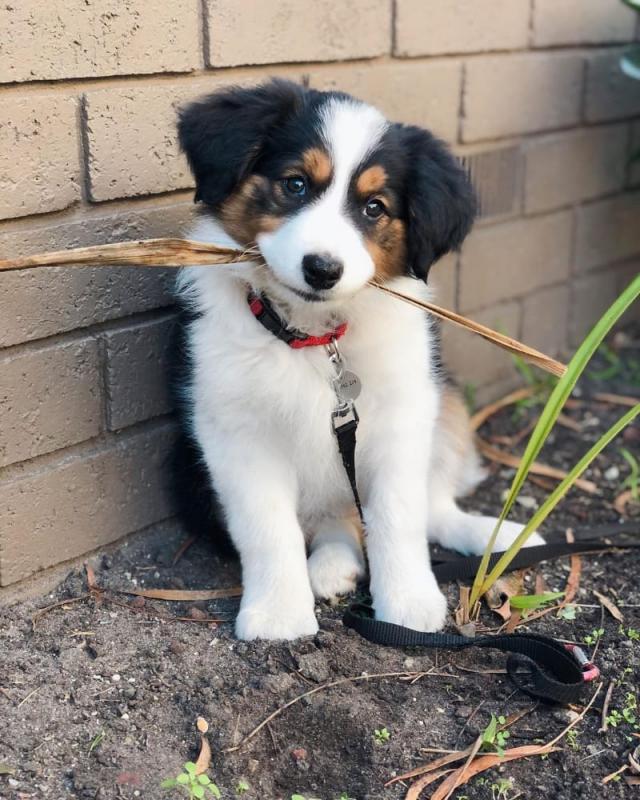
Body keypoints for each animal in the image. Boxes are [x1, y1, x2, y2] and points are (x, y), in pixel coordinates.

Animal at [172, 79, 544, 644]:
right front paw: (278, 613)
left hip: (445, 402)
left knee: (430, 506)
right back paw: (333, 565)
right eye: (295, 185)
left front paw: (408, 602)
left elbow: (399, 514)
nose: (323, 269)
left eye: (374, 208)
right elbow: (267, 527)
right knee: (333, 523)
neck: (313, 337)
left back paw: (493, 535)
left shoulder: (403, 413)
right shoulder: (235, 430)